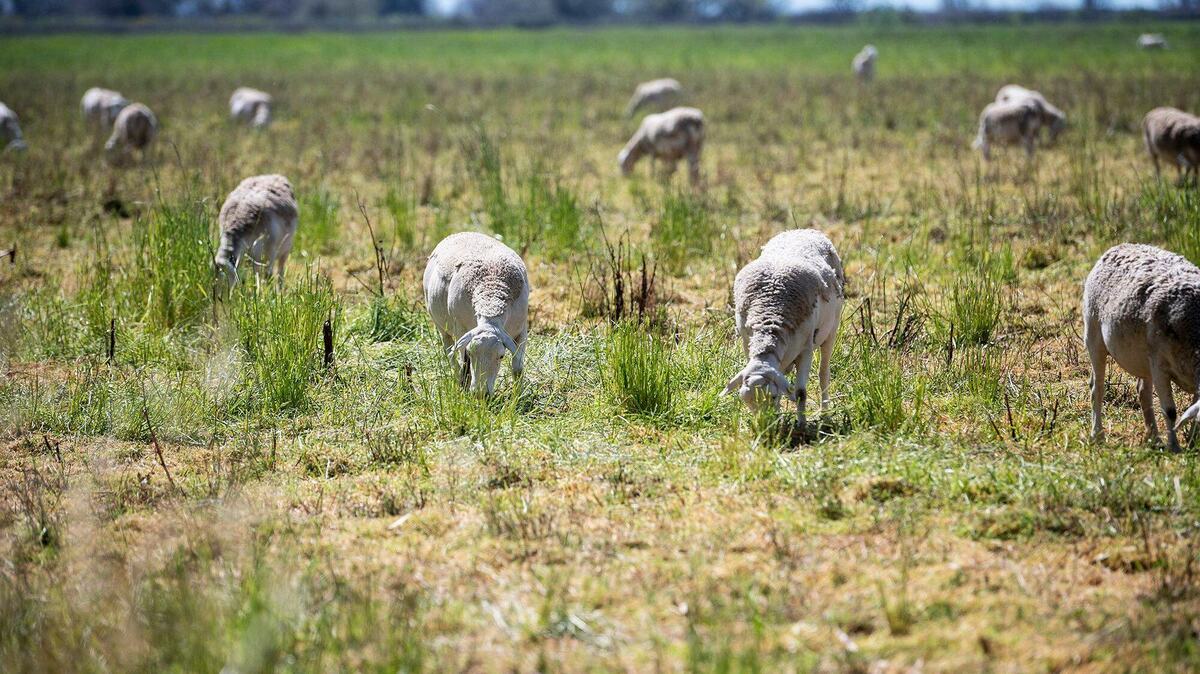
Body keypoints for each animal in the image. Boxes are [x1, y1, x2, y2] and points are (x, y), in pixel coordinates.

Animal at [424, 232, 529, 397]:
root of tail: (463, 233)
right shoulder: (460, 328)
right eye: (471, 353)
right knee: (450, 353)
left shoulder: (522, 329)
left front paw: (518, 395)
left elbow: (517, 367)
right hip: (441, 326)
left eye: (501, 356)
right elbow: (464, 363)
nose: (481, 394)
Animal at [724, 229, 845, 431]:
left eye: (772, 397)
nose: (764, 426)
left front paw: (802, 425)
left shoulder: (805, 350)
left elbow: (801, 392)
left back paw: (826, 413)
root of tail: (802, 230)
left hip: (832, 329)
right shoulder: (748, 344)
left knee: (824, 374)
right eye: (746, 401)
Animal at [1083, 243, 1200, 453]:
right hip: (1093, 335)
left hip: (1144, 357)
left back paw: (1153, 437)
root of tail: (1120, 246)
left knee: (1143, 392)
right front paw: (1175, 447)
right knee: (1097, 388)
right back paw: (1098, 435)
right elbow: (1170, 411)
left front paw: (1192, 441)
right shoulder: (1160, 366)